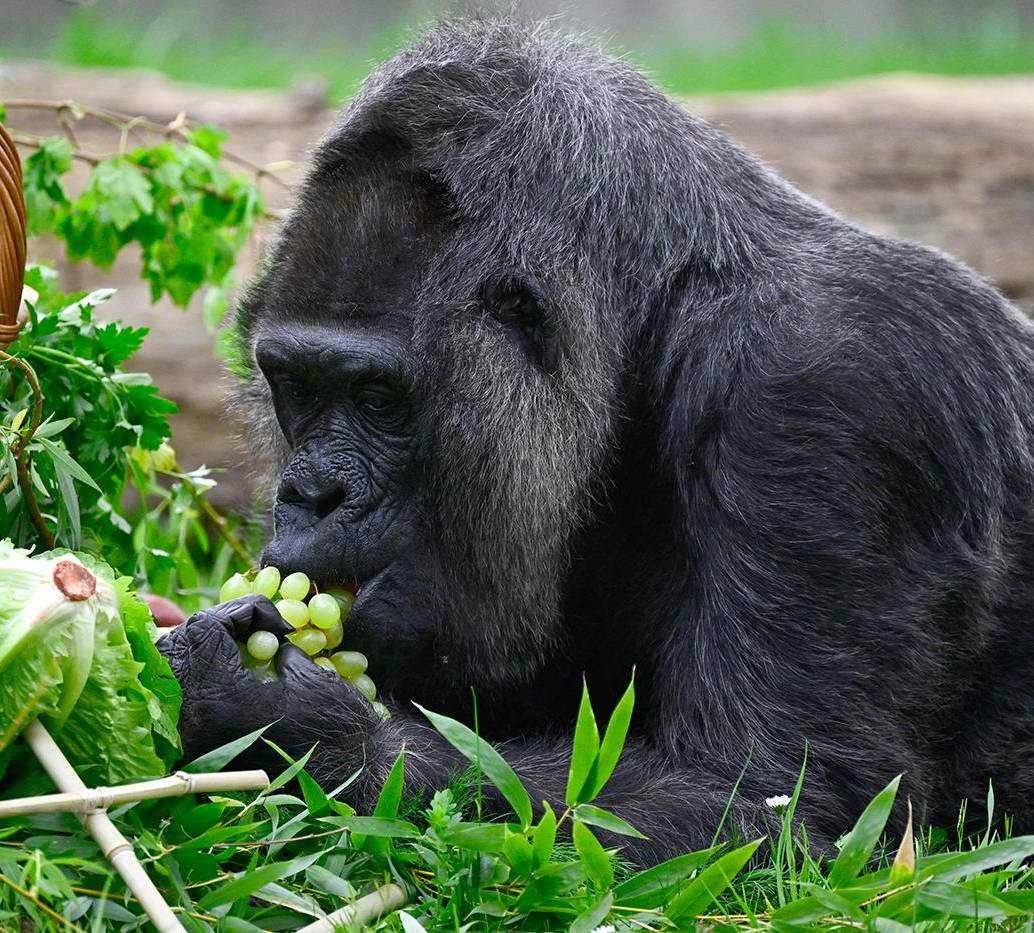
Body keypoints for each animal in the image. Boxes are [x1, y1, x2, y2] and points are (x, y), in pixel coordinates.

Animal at [159, 20, 1034, 868]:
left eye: (376, 399)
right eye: (299, 387)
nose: (309, 494)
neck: (656, 328)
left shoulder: (832, 387)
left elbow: (783, 806)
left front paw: (293, 722)